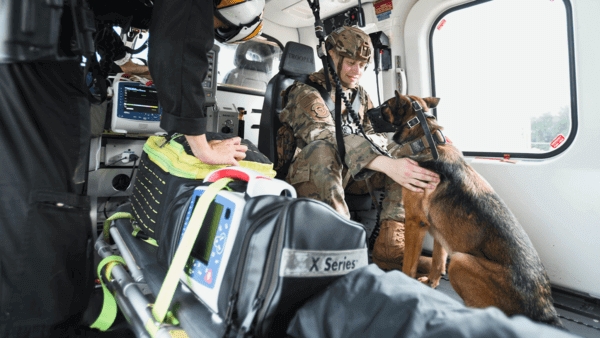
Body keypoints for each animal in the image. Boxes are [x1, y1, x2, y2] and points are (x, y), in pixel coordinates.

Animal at [380, 92, 564, 328]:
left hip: (460, 261)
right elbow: (438, 260)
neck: (425, 140)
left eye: (384, 106)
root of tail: (546, 312)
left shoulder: (414, 222)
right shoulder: (437, 229)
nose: (365, 114)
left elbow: (408, 265)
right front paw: (431, 283)